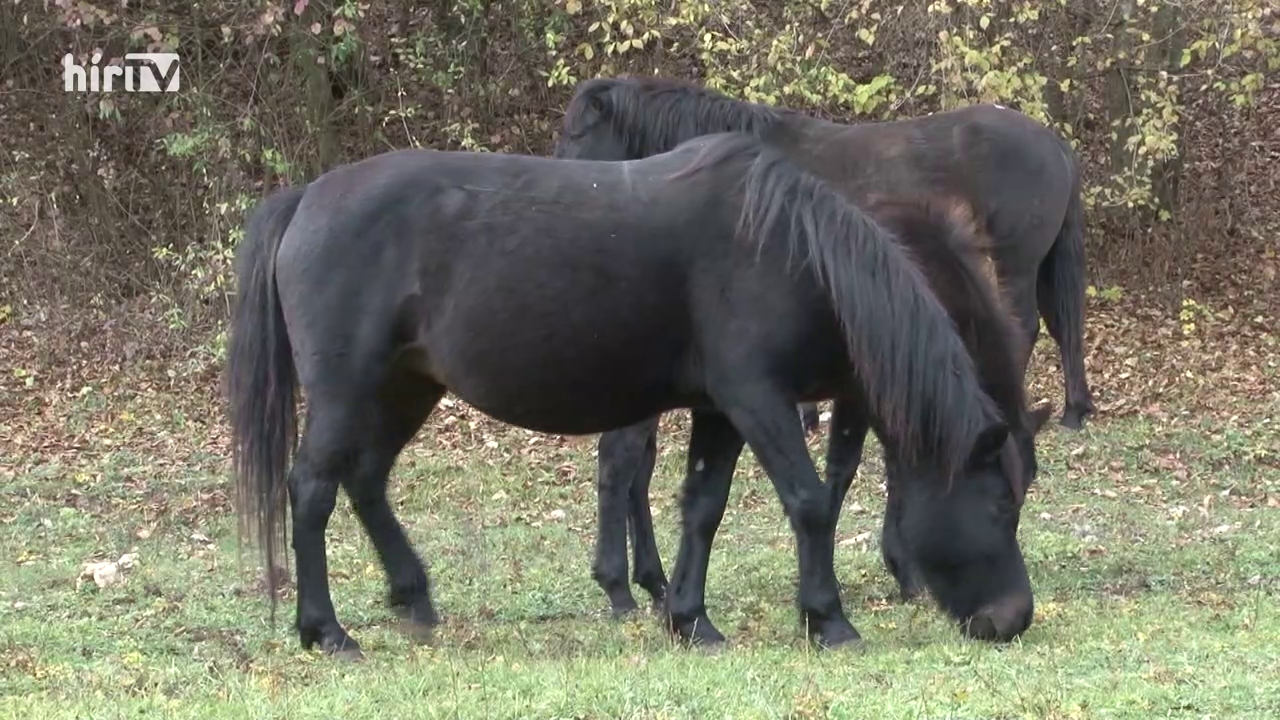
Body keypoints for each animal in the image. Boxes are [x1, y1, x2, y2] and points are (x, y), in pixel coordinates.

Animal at [227, 130, 1029, 655]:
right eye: (998, 504)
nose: (1014, 618)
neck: (788, 252)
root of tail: (307, 198)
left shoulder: (720, 410)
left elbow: (703, 508)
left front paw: (690, 620)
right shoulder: (758, 400)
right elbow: (808, 503)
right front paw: (828, 621)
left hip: (405, 387)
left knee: (365, 480)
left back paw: (414, 598)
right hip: (346, 391)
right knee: (313, 489)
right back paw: (325, 631)